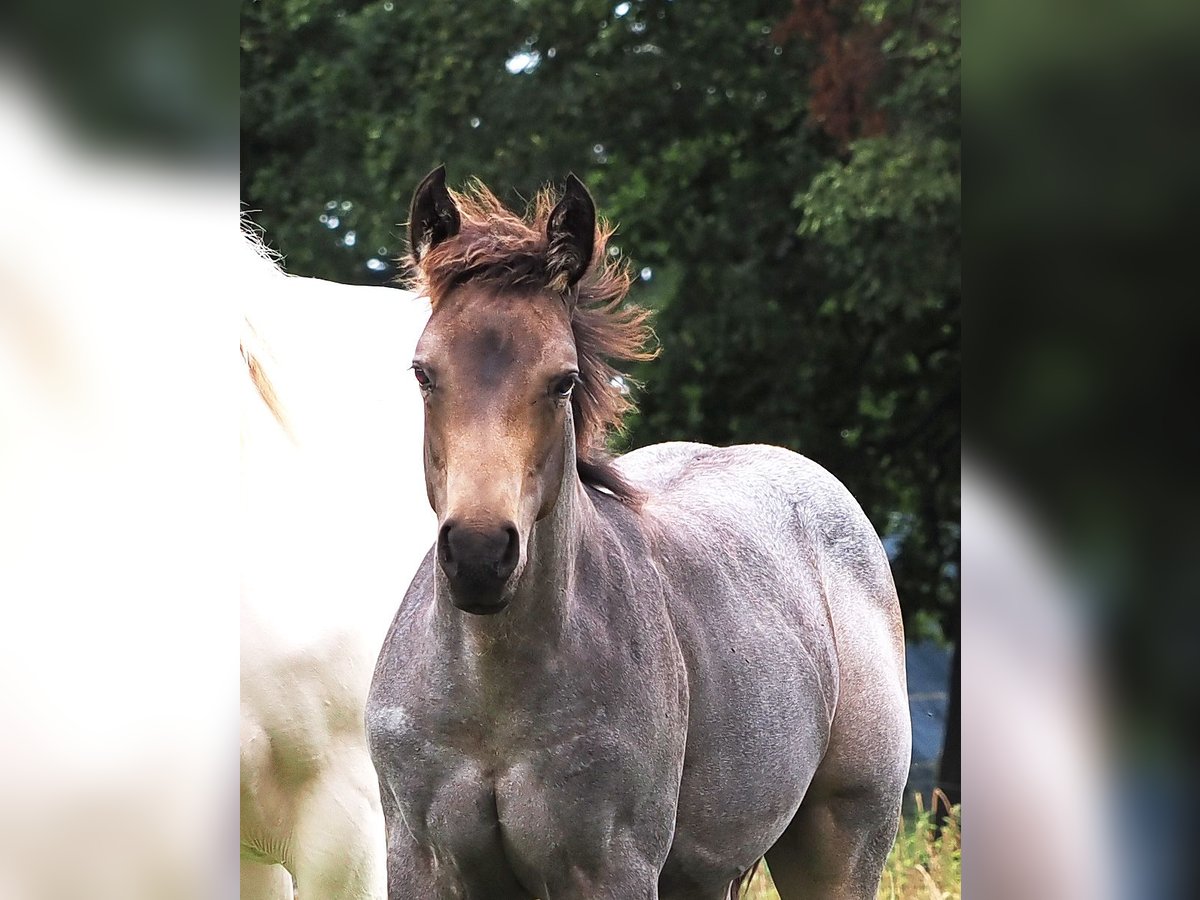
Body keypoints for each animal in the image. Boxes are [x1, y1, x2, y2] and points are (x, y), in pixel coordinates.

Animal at [366, 168, 912, 899]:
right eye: (424, 372)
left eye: (563, 380)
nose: (480, 556)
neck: (493, 696)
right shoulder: (420, 863)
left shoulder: (611, 870)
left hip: (841, 843)